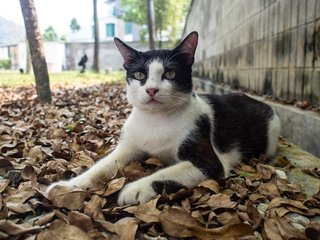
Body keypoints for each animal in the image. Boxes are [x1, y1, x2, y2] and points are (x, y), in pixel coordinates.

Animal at [45, 31, 280, 205]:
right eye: (140, 75)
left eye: (170, 74)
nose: (151, 89)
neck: (156, 120)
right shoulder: (128, 147)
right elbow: (102, 166)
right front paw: (68, 185)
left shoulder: (211, 162)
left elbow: (165, 173)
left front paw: (135, 188)